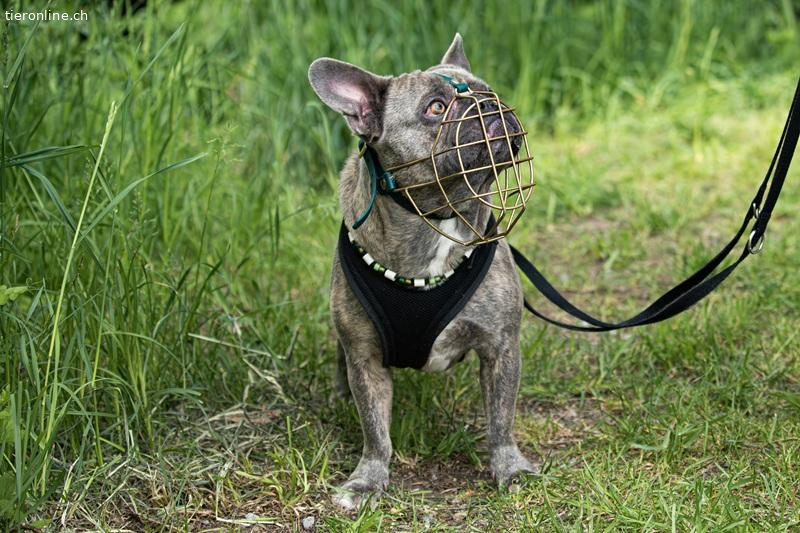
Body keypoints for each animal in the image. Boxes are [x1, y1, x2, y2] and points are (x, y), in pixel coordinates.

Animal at [308, 33, 535, 509]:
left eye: (489, 91)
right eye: (435, 107)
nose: (489, 106)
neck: (437, 220)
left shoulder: (502, 346)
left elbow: (501, 418)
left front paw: (509, 467)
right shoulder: (364, 358)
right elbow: (375, 431)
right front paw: (368, 479)